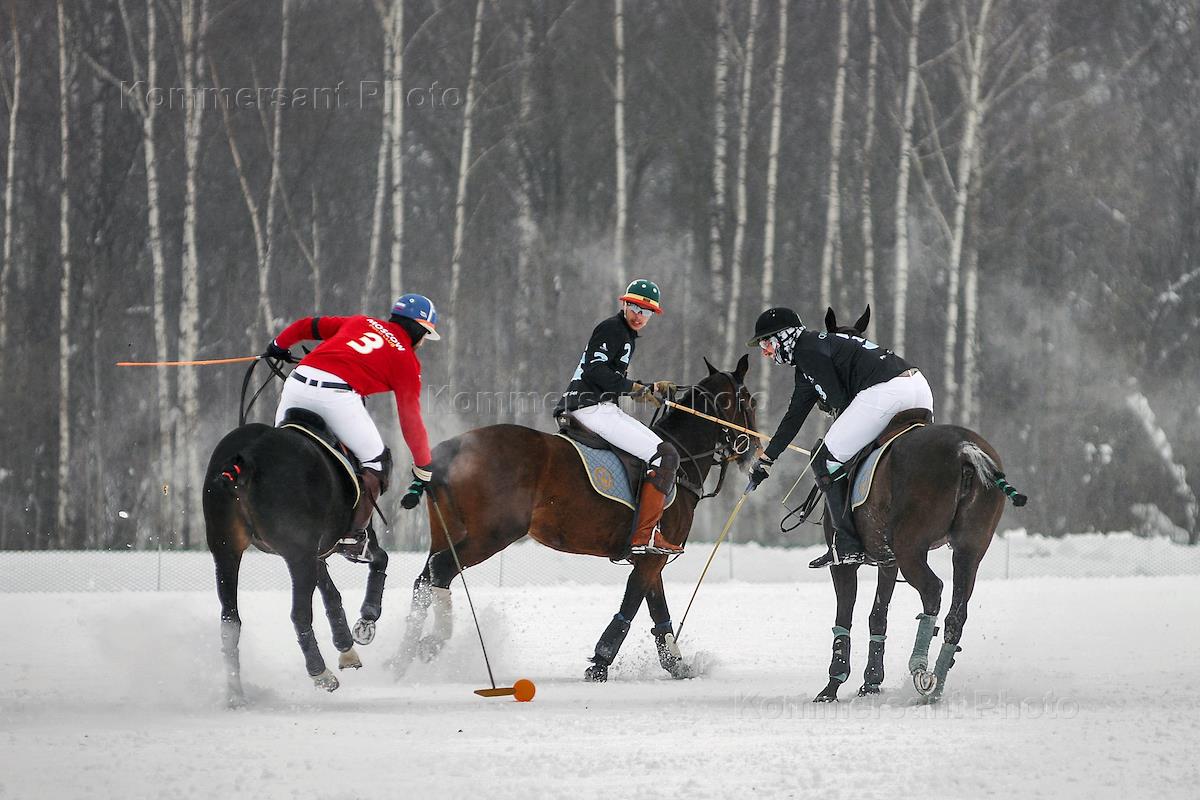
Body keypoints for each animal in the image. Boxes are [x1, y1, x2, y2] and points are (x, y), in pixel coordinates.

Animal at [204, 422, 386, 705]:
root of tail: (247, 458)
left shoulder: (317, 552)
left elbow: (332, 594)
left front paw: (347, 647)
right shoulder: (331, 547)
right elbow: (378, 559)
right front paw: (367, 620)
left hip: (226, 551)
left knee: (230, 620)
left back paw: (236, 696)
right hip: (297, 556)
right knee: (299, 613)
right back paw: (321, 674)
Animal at [388, 357, 753, 681]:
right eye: (749, 400)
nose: (753, 453)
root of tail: (450, 448)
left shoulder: (651, 556)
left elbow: (658, 612)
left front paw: (678, 665)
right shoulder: (652, 557)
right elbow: (632, 606)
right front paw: (599, 666)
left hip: (446, 529)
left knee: (424, 578)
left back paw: (400, 659)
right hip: (492, 533)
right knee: (442, 569)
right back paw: (432, 643)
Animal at [811, 309, 1027, 705]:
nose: (823, 402)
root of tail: (965, 450)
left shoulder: (846, 562)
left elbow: (845, 617)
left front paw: (833, 685)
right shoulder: (886, 559)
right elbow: (877, 616)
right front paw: (870, 683)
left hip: (912, 546)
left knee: (933, 590)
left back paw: (920, 668)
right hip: (969, 548)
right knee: (957, 613)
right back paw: (935, 684)